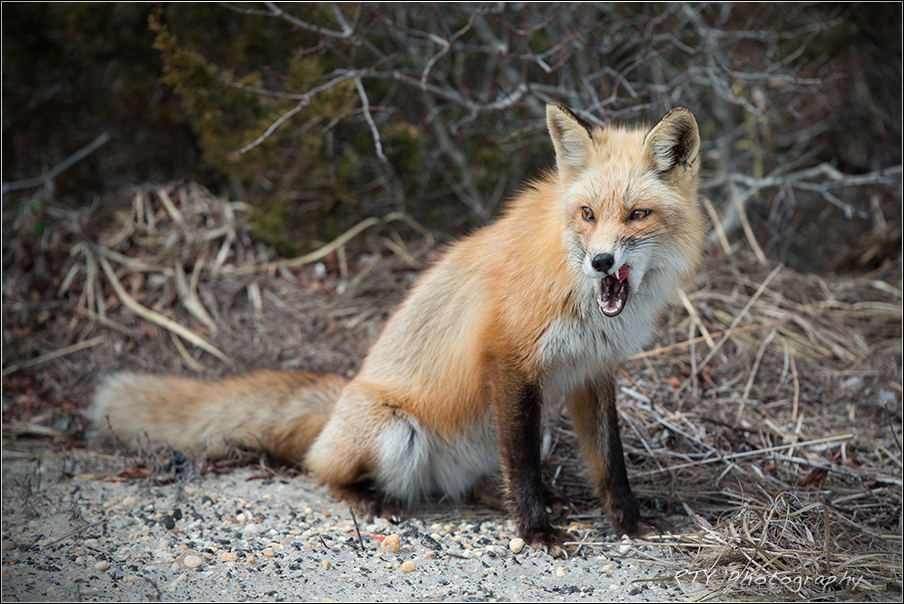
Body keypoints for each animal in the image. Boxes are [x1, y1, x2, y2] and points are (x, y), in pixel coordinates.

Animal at [91, 103, 705, 557]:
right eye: (586, 214)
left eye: (636, 215)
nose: (601, 262)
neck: (576, 289)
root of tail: (340, 401)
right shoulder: (511, 360)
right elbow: (526, 465)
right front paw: (535, 532)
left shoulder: (592, 371)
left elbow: (609, 464)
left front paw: (630, 524)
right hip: (395, 432)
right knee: (321, 469)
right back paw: (370, 500)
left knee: (472, 480)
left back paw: (490, 492)